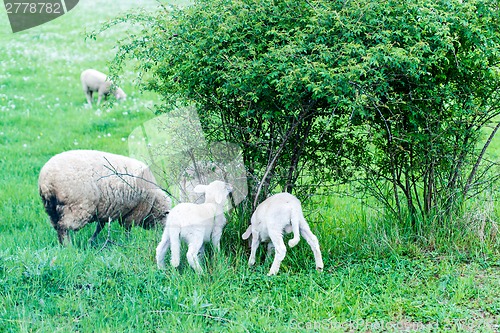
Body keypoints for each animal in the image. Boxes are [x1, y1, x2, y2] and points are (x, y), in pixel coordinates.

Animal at [38, 149, 171, 245]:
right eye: (165, 216)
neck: (154, 202)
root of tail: (46, 180)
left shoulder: (105, 209)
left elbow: (99, 227)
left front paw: (91, 240)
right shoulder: (135, 212)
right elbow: (127, 229)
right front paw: (128, 241)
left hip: (51, 208)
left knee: (57, 226)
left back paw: (62, 245)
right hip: (77, 207)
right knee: (63, 227)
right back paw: (68, 246)